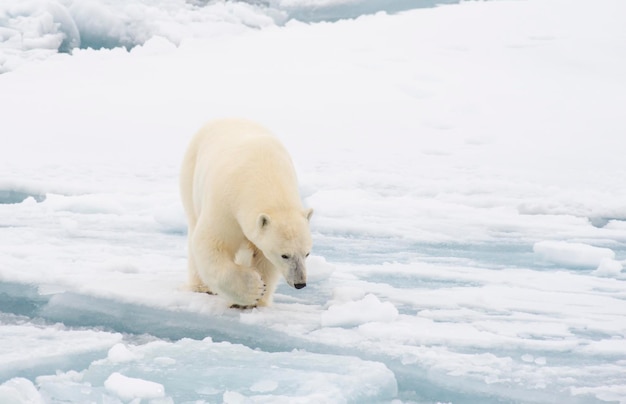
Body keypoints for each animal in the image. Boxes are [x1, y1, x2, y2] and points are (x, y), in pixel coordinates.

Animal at [178, 118, 312, 308]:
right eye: (285, 255)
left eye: (307, 253)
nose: (300, 283)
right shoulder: (225, 203)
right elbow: (211, 244)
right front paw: (253, 289)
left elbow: (264, 259)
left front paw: (257, 300)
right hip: (191, 175)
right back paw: (201, 286)